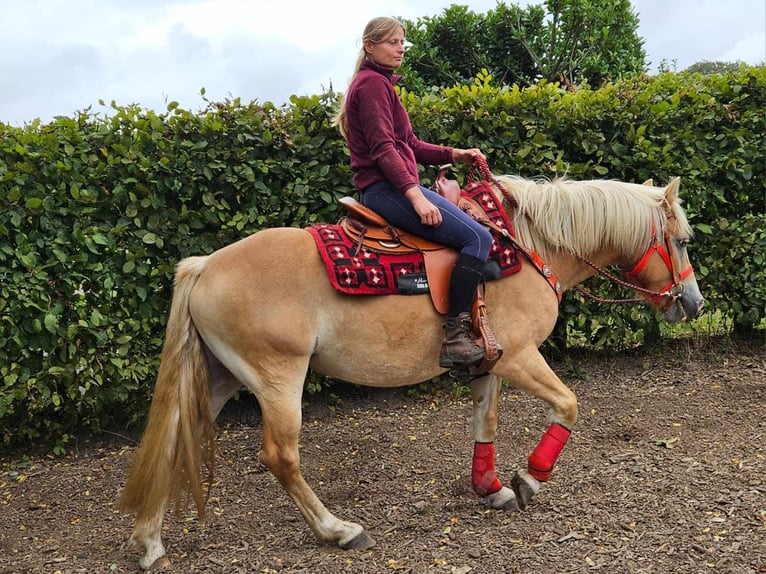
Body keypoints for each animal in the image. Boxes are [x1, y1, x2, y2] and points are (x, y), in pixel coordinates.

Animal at [118, 174, 704, 572]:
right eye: (681, 241)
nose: (693, 303)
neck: (529, 245)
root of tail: (204, 266)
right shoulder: (520, 356)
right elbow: (568, 404)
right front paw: (531, 477)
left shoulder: (490, 361)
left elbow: (485, 424)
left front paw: (491, 487)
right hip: (278, 379)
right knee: (280, 457)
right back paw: (339, 529)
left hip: (220, 376)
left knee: (171, 439)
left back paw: (149, 542)